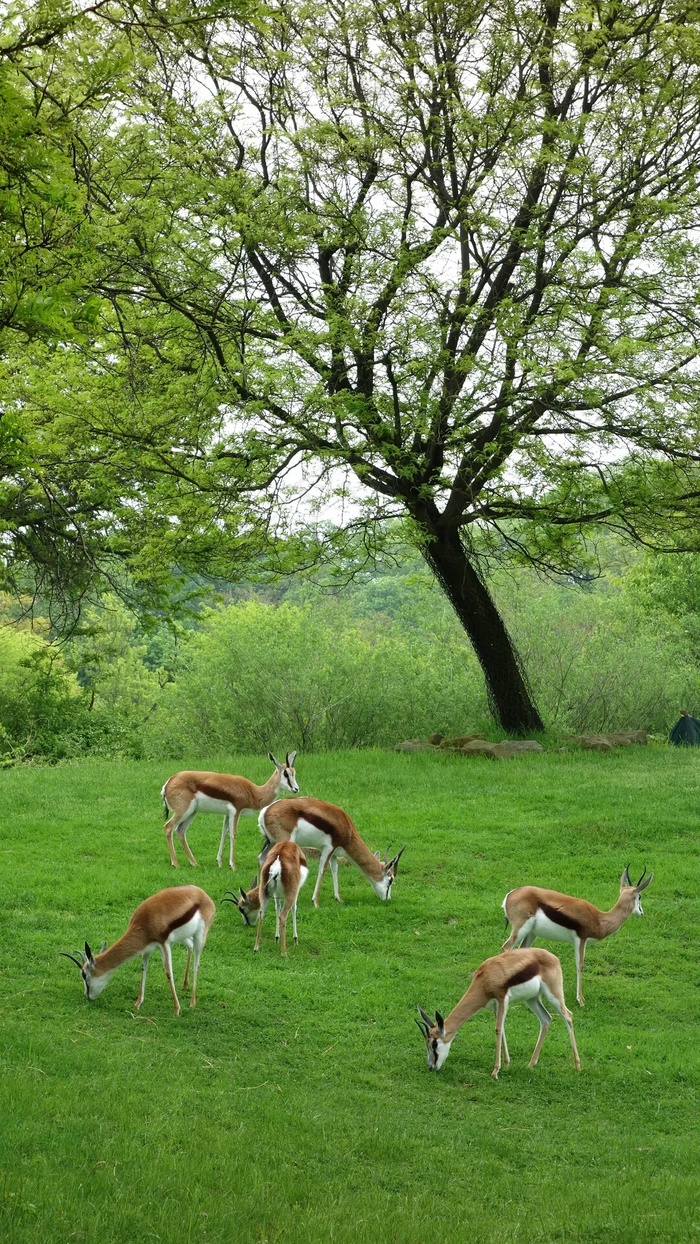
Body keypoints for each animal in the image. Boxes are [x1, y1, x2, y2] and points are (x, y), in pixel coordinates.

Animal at [61, 880, 215, 1015]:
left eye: (84, 975)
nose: (87, 996)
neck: (144, 923)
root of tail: (202, 893)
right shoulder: (147, 948)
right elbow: (143, 969)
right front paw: (137, 1004)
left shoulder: (163, 944)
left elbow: (168, 973)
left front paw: (177, 1010)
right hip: (184, 937)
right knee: (190, 946)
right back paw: (185, 985)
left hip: (200, 935)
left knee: (197, 963)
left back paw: (192, 1003)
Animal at [161, 751, 298, 870]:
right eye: (285, 774)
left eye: (294, 773)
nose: (296, 789)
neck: (255, 792)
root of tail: (168, 782)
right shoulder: (236, 811)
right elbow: (233, 834)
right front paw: (233, 865)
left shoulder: (227, 814)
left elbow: (224, 833)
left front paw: (219, 862)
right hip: (183, 811)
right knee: (168, 827)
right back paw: (175, 864)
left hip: (192, 812)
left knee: (180, 831)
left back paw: (195, 863)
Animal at [257, 796, 405, 905]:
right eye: (390, 880)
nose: (387, 899)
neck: (347, 829)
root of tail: (265, 811)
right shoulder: (328, 848)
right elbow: (322, 870)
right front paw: (315, 902)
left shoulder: (334, 853)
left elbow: (335, 869)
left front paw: (338, 899)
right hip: (285, 841)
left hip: (271, 842)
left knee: (261, 858)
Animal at [415, 945, 581, 1074]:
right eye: (426, 1043)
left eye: (434, 1044)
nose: (431, 1066)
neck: (484, 979)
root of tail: (553, 956)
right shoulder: (495, 1006)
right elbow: (502, 1030)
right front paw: (506, 1065)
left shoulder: (502, 1000)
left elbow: (498, 1029)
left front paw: (495, 1071)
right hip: (532, 999)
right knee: (546, 1019)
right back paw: (531, 1064)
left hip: (553, 994)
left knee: (568, 1016)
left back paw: (577, 1065)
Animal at [502, 870, 656, 1005]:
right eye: (640, 897)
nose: (641, 912)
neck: (599, 919)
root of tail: (510, 895)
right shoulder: (581, 939)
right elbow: (580, 965)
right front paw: (580, 1000)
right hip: (520, 929)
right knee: (506, 948)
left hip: (531, 933)